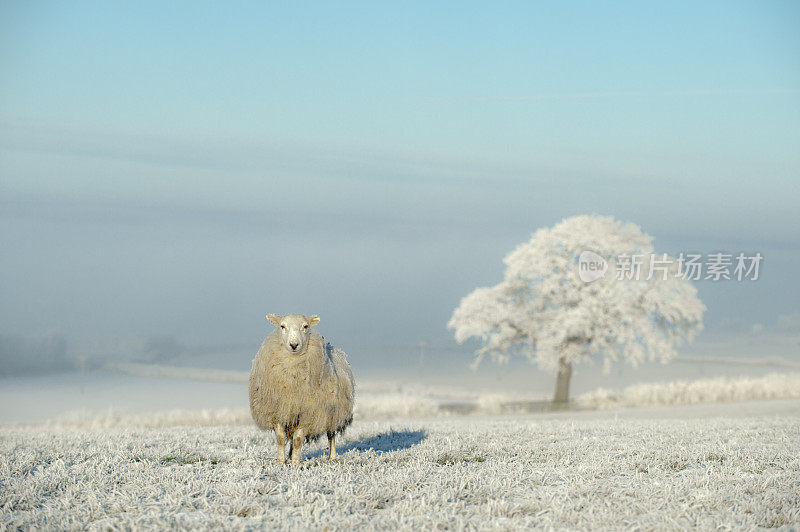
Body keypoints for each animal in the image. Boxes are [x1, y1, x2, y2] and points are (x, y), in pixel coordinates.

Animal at [247, 314, 354, 464]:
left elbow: (298, 439)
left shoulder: (307, 413)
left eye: (305, 326)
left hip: (333, 412)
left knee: (331, 435)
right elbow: (281, 438)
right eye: (282, 326)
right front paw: (281, 462)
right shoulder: (278, 411)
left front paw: (295, 463)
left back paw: (332, 457)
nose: (294, 345)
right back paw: (290, 455)